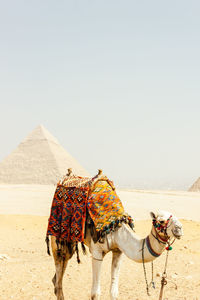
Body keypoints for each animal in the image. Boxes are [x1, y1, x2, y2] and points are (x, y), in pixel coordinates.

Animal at [50, 211, 183, 300]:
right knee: (58, 270)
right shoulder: (97, 251)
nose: (179, 228)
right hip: (57, 239)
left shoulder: (118, 251)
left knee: (60, 272)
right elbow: (95, 293)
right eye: (161, 221)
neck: (116, 231)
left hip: (69, 244)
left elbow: (114, 292)